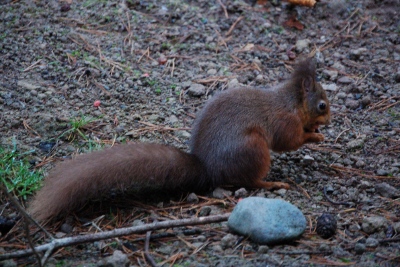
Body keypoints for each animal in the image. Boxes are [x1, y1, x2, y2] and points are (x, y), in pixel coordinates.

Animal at [28, 58, 332, 222]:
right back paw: (273, 183)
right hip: (253, 148)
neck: (291, 102)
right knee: (250, 181)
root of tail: (208, 169)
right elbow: (288, 142)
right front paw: (314, 135)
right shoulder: (284, 122)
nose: (328, 120)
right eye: (322, 106)